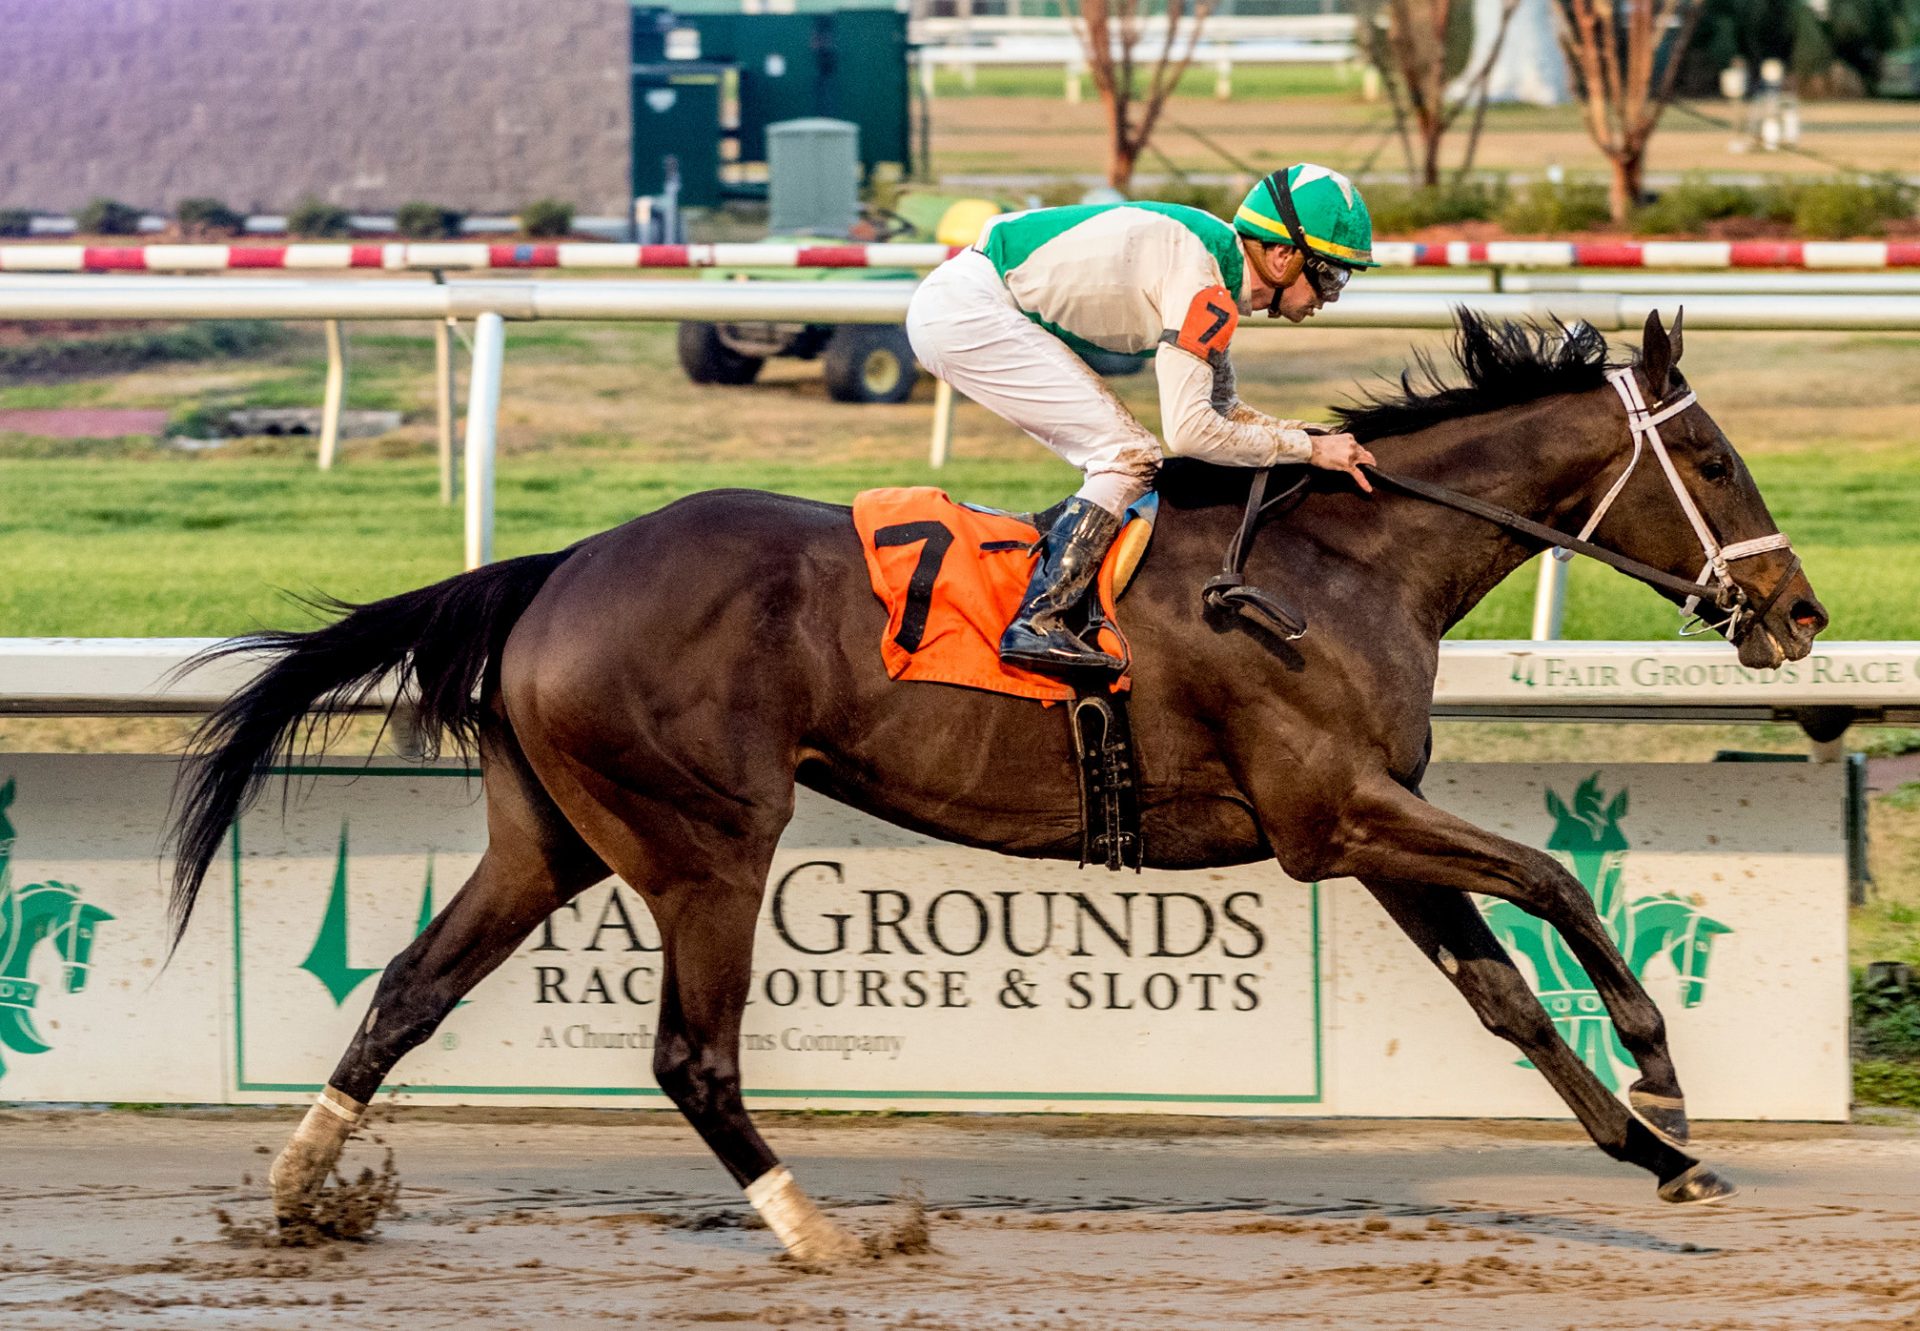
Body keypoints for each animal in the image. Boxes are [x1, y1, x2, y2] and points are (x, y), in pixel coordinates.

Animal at [168, 311, 1827, 1259]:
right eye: (1718, 459)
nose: (1799, 611)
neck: (1343, 563)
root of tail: (557, 565)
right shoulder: (1334, 816)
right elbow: (1552, 878)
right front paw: (1663, 1070)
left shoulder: (1370, 831)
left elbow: (1506, 998)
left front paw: (1663, 1156)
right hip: (712, 838)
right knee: (693, 1053)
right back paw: (820, 1230)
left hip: (555, 836)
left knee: (407, 988)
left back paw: (301, 1194)